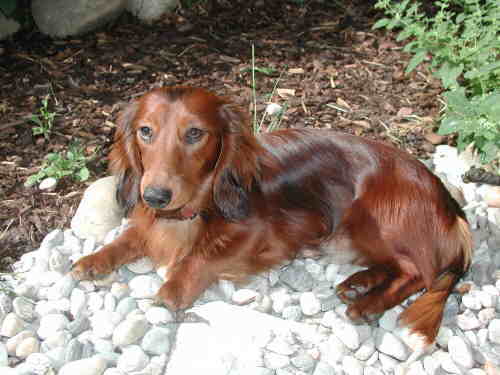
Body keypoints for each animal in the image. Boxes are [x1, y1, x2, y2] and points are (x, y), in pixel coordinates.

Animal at [71, 85, 472, 346]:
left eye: (195, 133)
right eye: (145, 131)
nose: (155, 196)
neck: (194, 206)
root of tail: (450, 204)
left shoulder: (270, 234)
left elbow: (202, 254)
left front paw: (174, 288)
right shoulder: (148, 222)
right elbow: (127, 238)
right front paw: (93, 260)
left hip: (366, 217)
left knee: (420, 272)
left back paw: (368, 304)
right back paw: (359, 283)